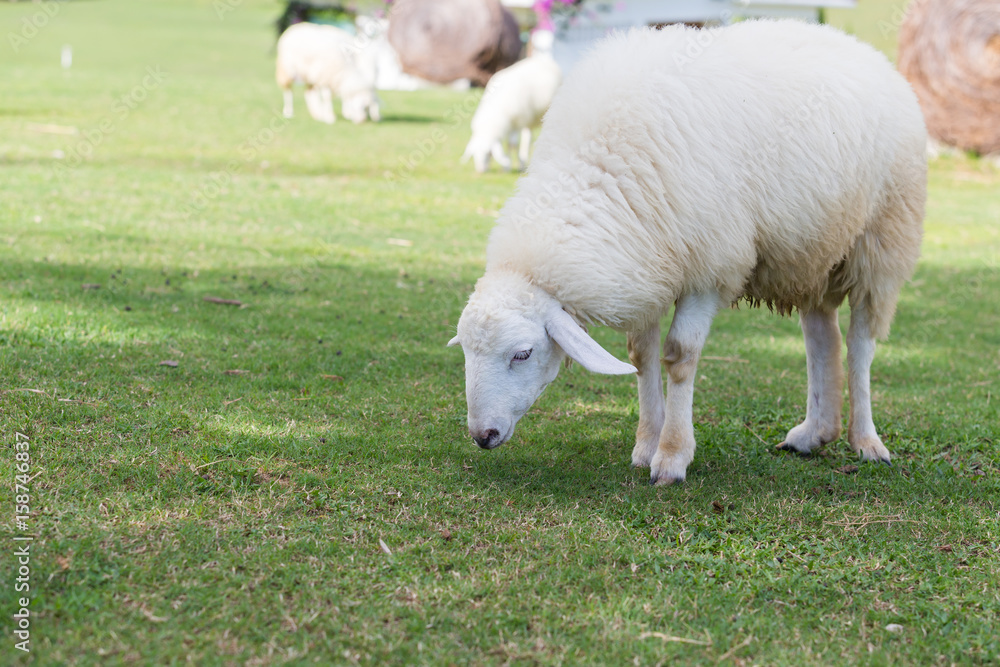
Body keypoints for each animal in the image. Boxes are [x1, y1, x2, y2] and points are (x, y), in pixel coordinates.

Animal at [462, 32, 562, 173]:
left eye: (489, 153)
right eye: (475, 154)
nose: (481, 171)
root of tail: (543, 59)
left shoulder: (518, 122)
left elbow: (512, 144)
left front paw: (509, 165)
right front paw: (506, 166)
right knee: (528, 138)